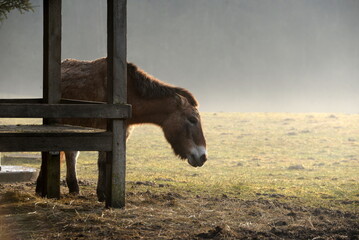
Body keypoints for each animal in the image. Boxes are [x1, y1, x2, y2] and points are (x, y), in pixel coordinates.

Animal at [37, 57, 208, 200]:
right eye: (192, 120)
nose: (203, 157)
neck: (128, 93)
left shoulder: (123, 133)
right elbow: (102, 161)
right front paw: (103, 194)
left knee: (71, 153)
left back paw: (72, 188)